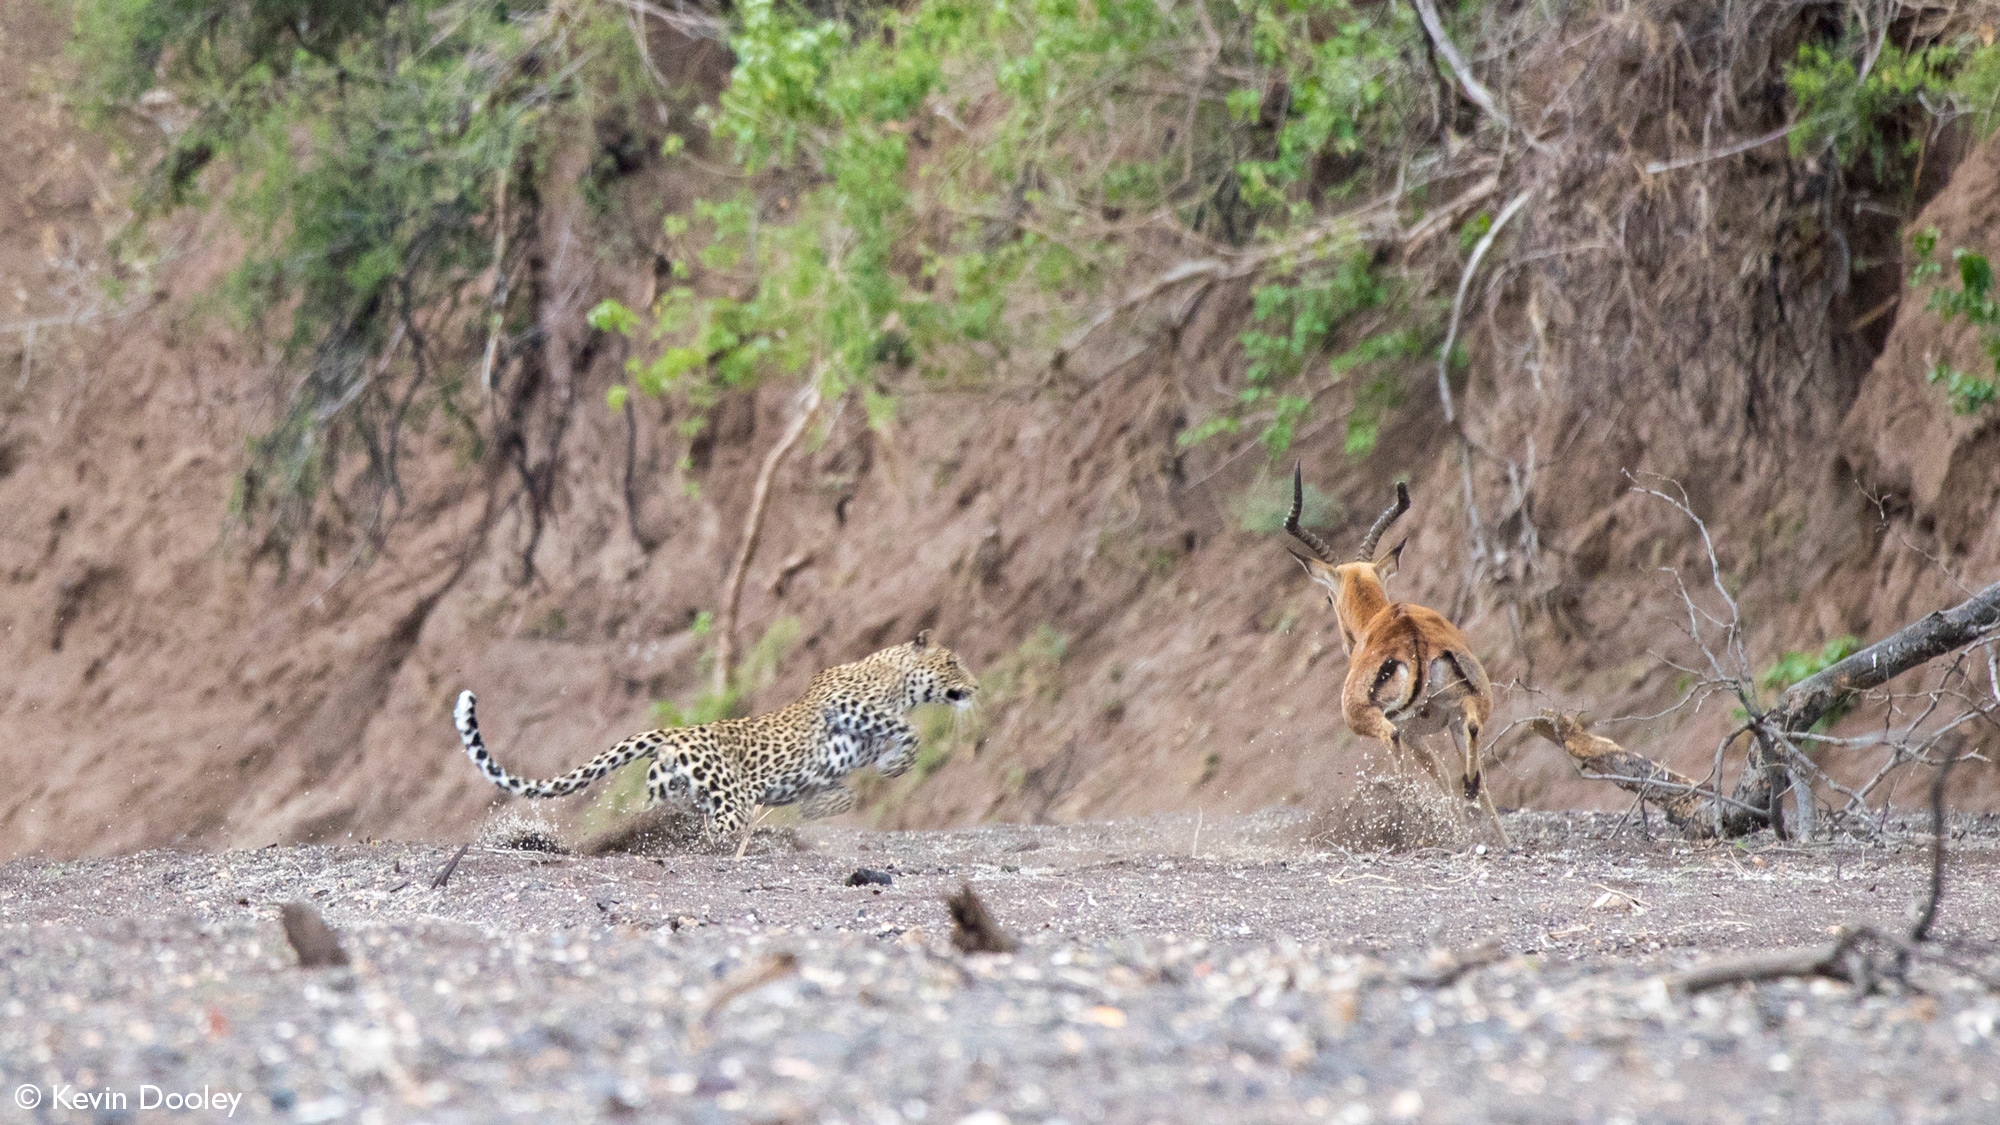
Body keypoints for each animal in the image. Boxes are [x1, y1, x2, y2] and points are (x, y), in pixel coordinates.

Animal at [456, 632, 984, 840]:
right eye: (954, 661)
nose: (977, 687)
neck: (895, 679)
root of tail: (678, 731)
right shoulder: (844, 703)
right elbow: (906, 730)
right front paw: (897, 762)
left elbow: (844, 793)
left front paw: (822, 807)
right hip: (731, 798)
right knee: (718, 828)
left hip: (666, 790)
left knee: (653, 818)